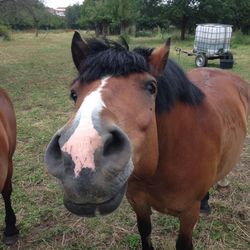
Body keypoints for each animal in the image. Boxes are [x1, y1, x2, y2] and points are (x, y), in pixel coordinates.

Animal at [45, 32, 250, 249]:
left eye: (151, 87)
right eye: (73, 93)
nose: (82, 158)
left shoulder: (188, 214)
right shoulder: (138, 202)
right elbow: (145, 231)